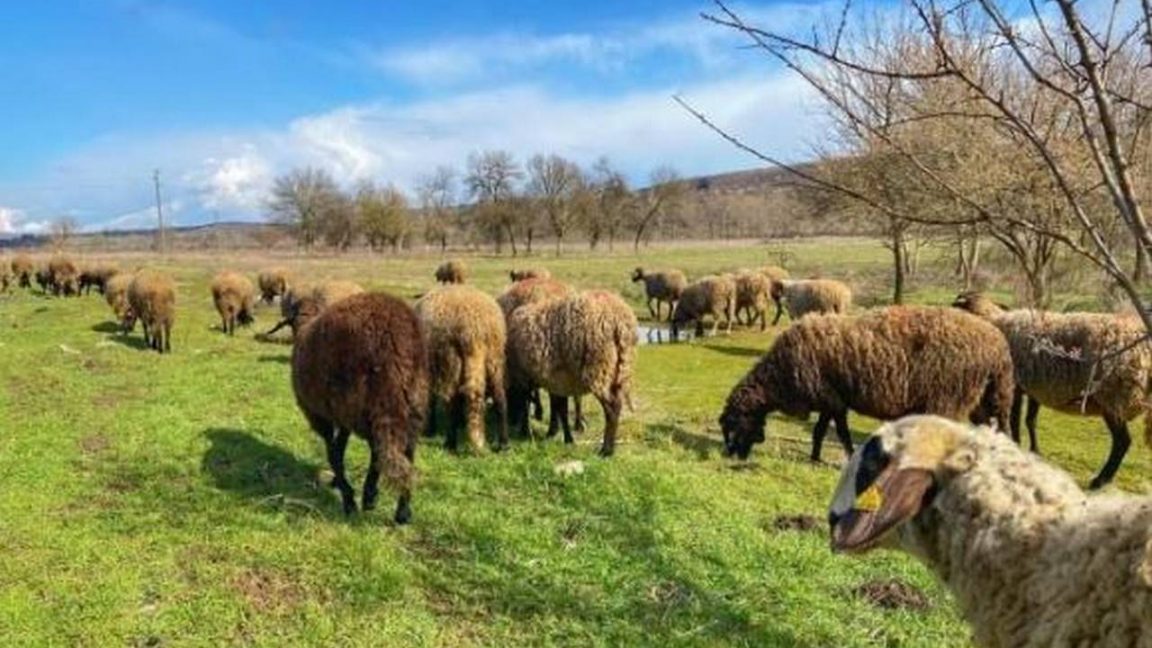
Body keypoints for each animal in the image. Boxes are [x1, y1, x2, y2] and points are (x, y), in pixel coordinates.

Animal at [292, 292, 429, 524]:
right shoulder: (341, 417)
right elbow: (339, 448)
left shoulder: (320, 415)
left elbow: (333, 453)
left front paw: (347, 495)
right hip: (411, 401)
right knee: (406, 453)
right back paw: (402, 511)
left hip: (362, 403)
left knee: (377, 449)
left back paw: (367, 497)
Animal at [414, 285, 508, 452]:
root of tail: (475, 329)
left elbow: (431, 399)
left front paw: (429, 429)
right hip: (494, 357)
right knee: (500, 399)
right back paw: (504, 444)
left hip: (451, 359)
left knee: (451, 400)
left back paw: (450, 443)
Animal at [506, 290, 637, 456]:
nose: (511, 422)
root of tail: (619, 319)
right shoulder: (557, 381)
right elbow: (559, 408)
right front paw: (559, 435)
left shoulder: (525, 378)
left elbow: (527, 404)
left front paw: (526, 431)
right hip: (617, 370)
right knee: (617, 403)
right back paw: (609, 447)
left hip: (598, 367)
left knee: (612, 407)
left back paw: (606, 450)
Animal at [720, 306, 1015, 462]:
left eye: (733, 426)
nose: (731, 455)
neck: (778, 378)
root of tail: (997, 345)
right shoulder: (831, 400)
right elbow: (819, 431)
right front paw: (815, 457)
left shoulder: (832, 400)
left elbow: (840, 433)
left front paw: (848, 456)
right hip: (985, 399)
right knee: (998, 429)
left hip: (949, 397)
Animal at [953, 290, 1152, 488]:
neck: (995, 321)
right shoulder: (1033, 389)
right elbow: (1030, 420)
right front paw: (1035, 452)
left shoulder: (1016, 385)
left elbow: (1015, 420)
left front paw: (1016, 445)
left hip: (1113, 396)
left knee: (1122, 441)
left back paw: (1101, 480)